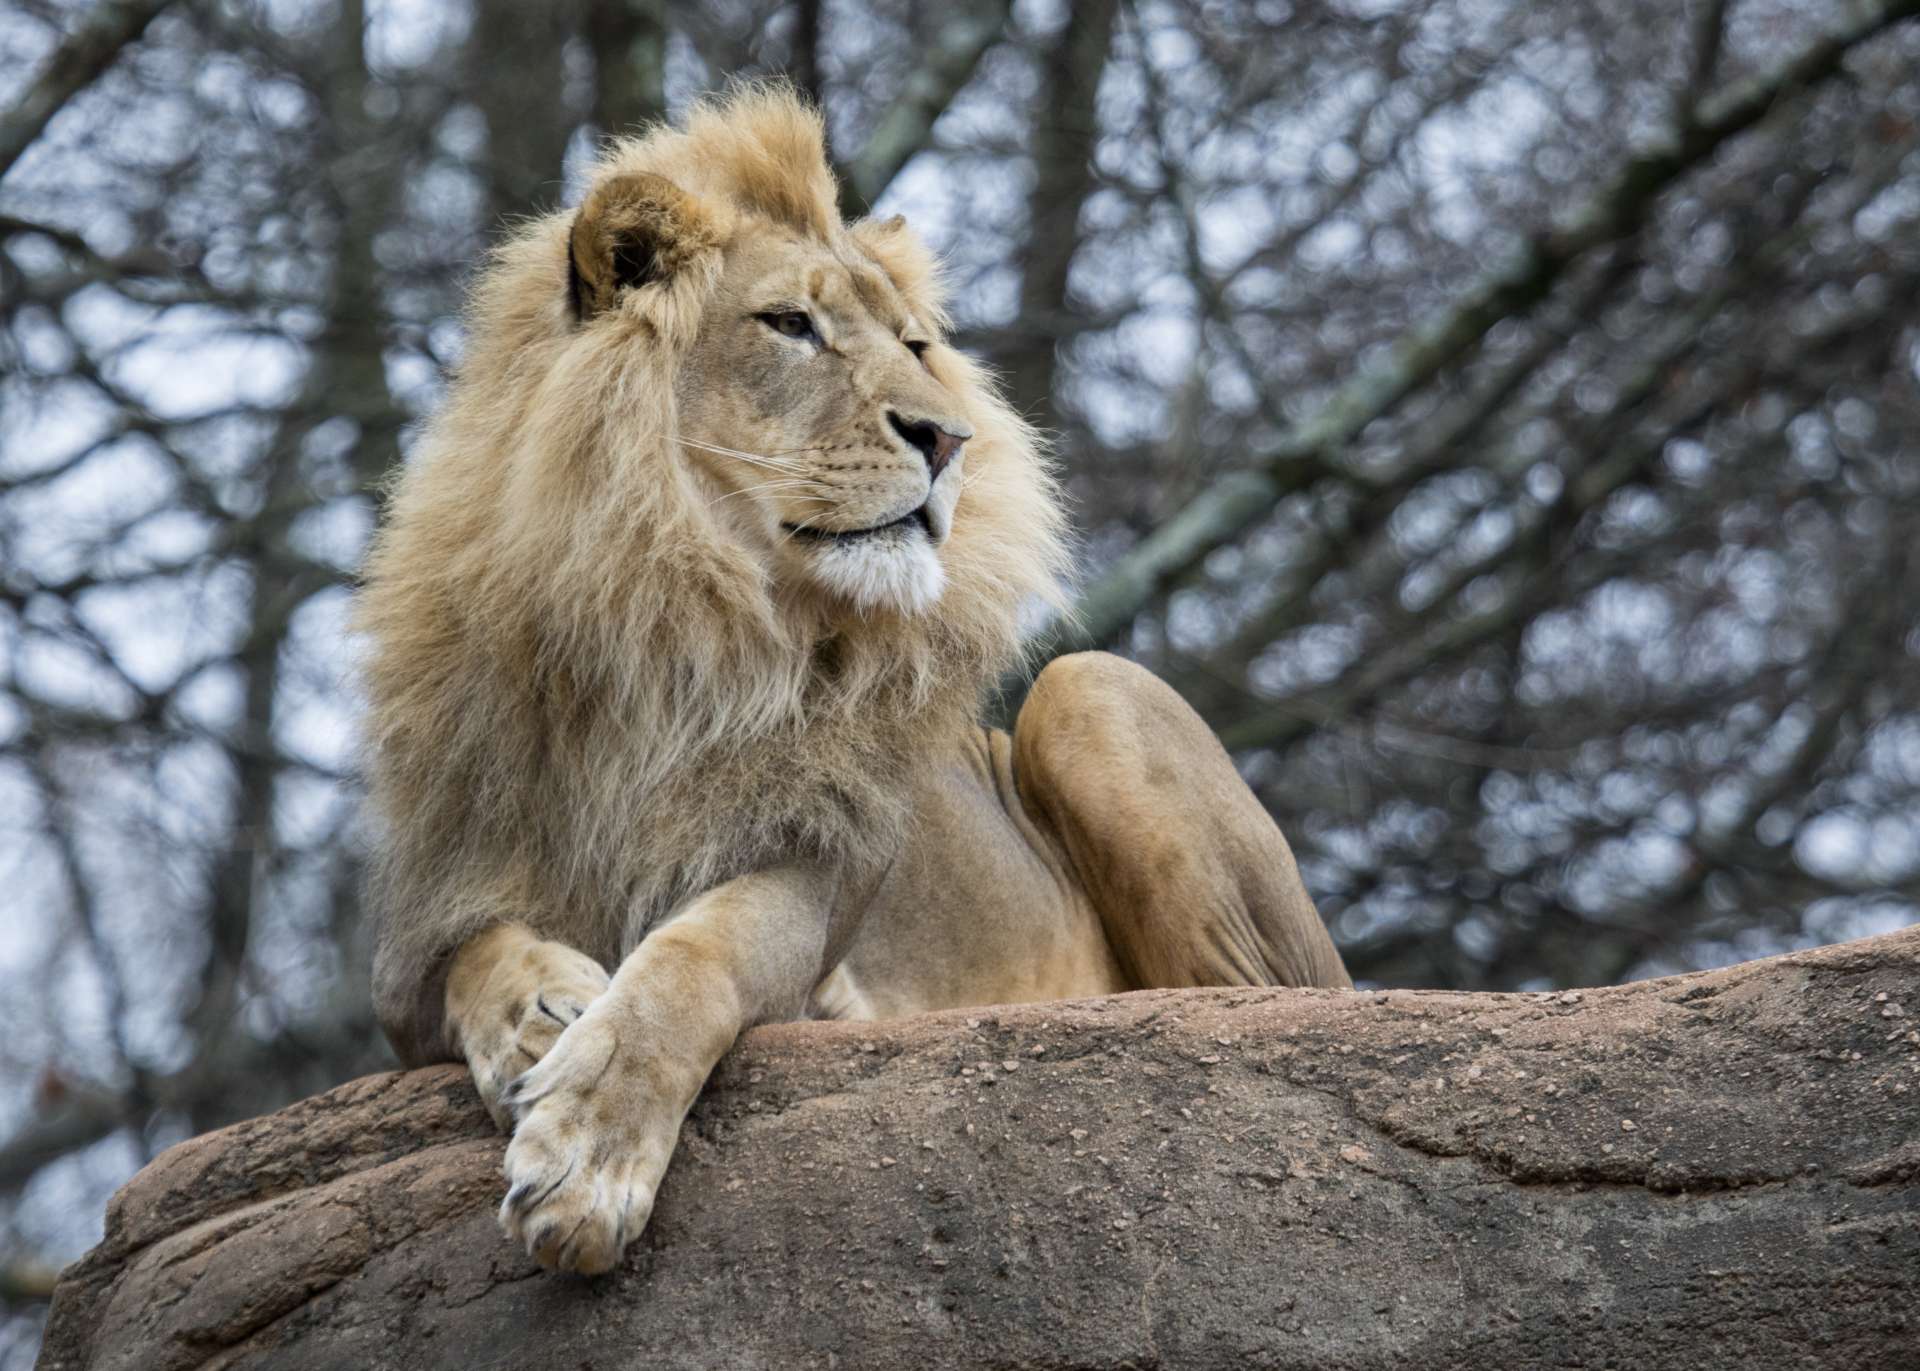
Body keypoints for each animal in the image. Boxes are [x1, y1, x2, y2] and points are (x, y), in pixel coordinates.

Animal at [360, 85, 1351, 1267]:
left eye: (917, 344)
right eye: (791, 324)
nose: (947, 437)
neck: (680, 623)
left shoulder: (820, 864)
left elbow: (693, 959)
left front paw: (588, 1152)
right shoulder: (420, 927)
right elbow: (474, 953)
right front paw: (543, 1010)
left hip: (1094, 693)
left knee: (1240, 1017)